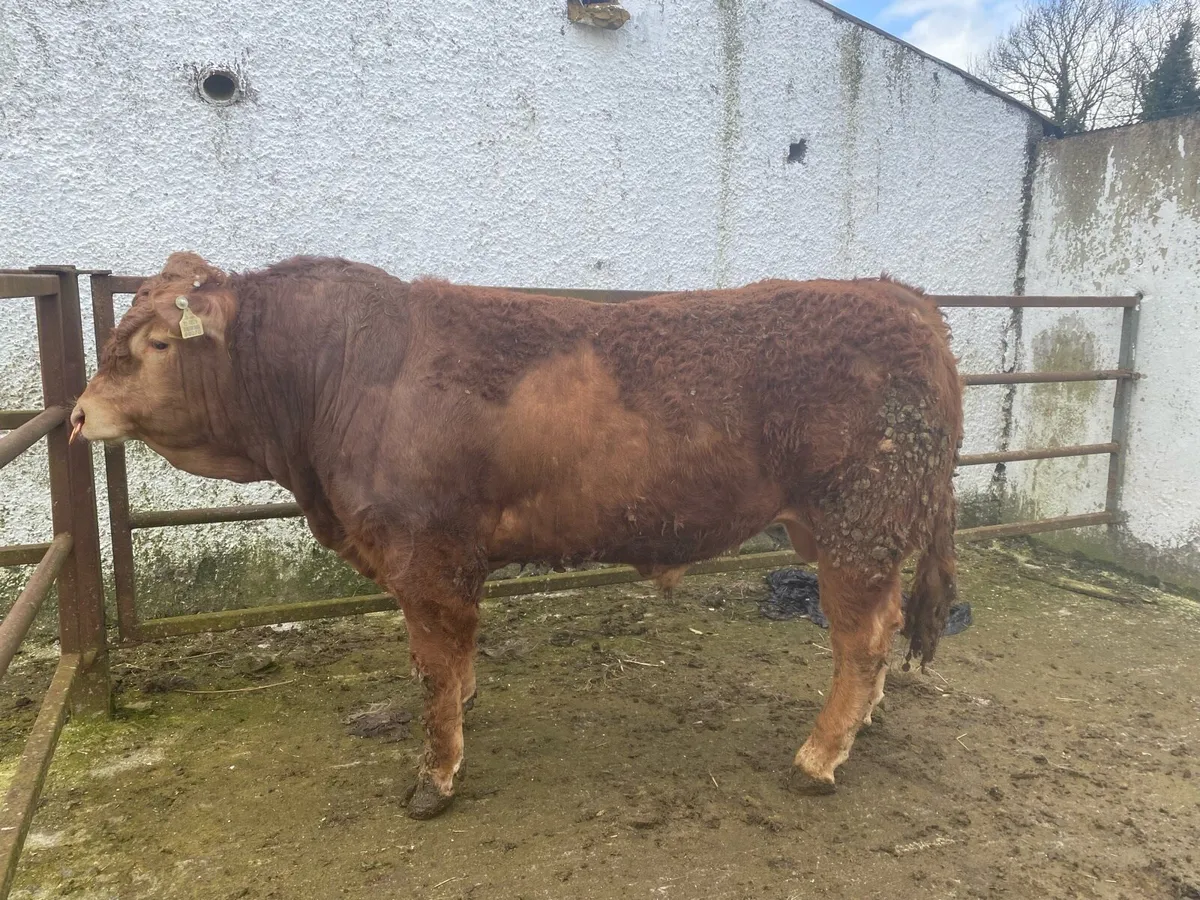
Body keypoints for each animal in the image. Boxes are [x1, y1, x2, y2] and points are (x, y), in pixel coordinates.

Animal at [72, 252, 964, 819]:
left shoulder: (424, 552)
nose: (79, 415)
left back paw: (818, 758)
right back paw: (863, 726)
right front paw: (467, 705)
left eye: (157, 343)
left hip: (858, 522)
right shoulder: (451, 555)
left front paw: (435, 778)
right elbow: (455, 655)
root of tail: (908, 300)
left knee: (862, 640)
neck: (341, 377)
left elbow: (432, 664)